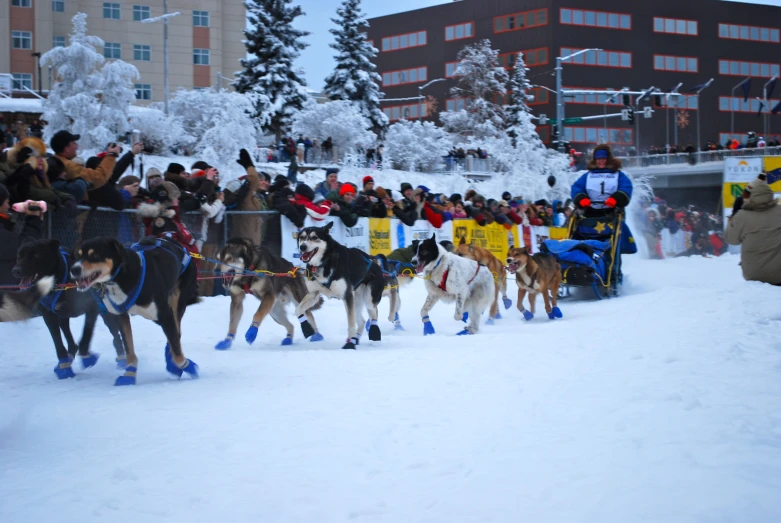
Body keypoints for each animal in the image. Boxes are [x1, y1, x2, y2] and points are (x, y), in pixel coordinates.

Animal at [12, 238, 126, 380]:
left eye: (36, 255)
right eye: (19, 256)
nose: (16, 270)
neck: (59, 283)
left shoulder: (92, 308)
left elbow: (86, 333)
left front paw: (86, 356)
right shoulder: (49, 316)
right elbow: (58, 342)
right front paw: (64, 366)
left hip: (106, 315)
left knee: (116, 335)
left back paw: (121, 359)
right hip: (63, 316)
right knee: (70, 339)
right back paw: (69, 356)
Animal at [69, 235, 201, 386]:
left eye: (95, 255)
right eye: (78, 256)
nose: (74, 269)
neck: (122, 276)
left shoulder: (165, 315)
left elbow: (176, 348)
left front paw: (187, 366)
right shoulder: (122, 316)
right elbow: (129, 348)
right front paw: (129, 374)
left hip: (177, 303)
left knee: (176, 333)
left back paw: (172, 363)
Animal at [296, 219, 384, 350]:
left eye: (314, 237)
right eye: (301, 237)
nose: (302, 247)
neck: (324, 262)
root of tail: (374, 262)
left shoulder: (347, 295)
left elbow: (351, 323)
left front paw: (349, 345)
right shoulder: (313, 294)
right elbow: (298, 309)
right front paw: (307, 329)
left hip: (368, 299)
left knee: (374, 314)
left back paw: (374, 336)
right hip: (355, 301)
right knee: (362, 321)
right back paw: (356, 339)